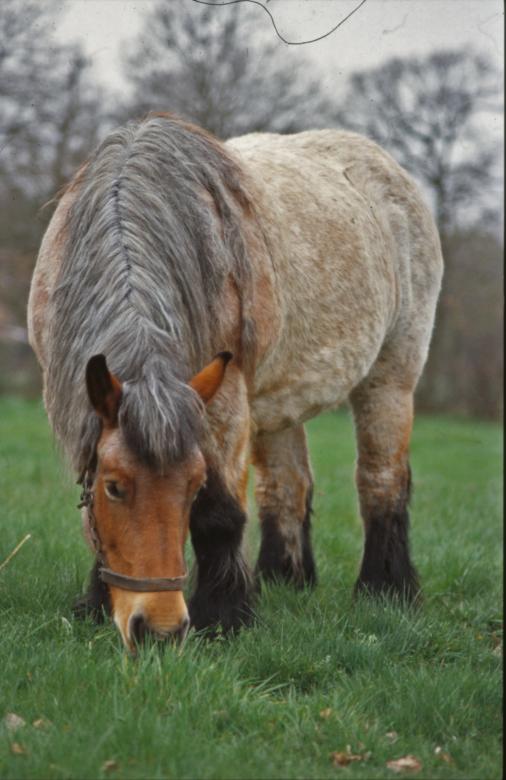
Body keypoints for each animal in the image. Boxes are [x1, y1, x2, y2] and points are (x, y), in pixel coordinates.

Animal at [27, 113, 443, 652]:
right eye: (114, 487)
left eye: (193, 483)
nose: (156, 628)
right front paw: (98, 604)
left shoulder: (223, 399)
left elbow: (220, 513)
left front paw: (223, 616)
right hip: (276, 404)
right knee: (286, 486)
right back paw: (283, 580)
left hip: (390, 377)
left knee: (381, 480)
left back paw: (385, 589)